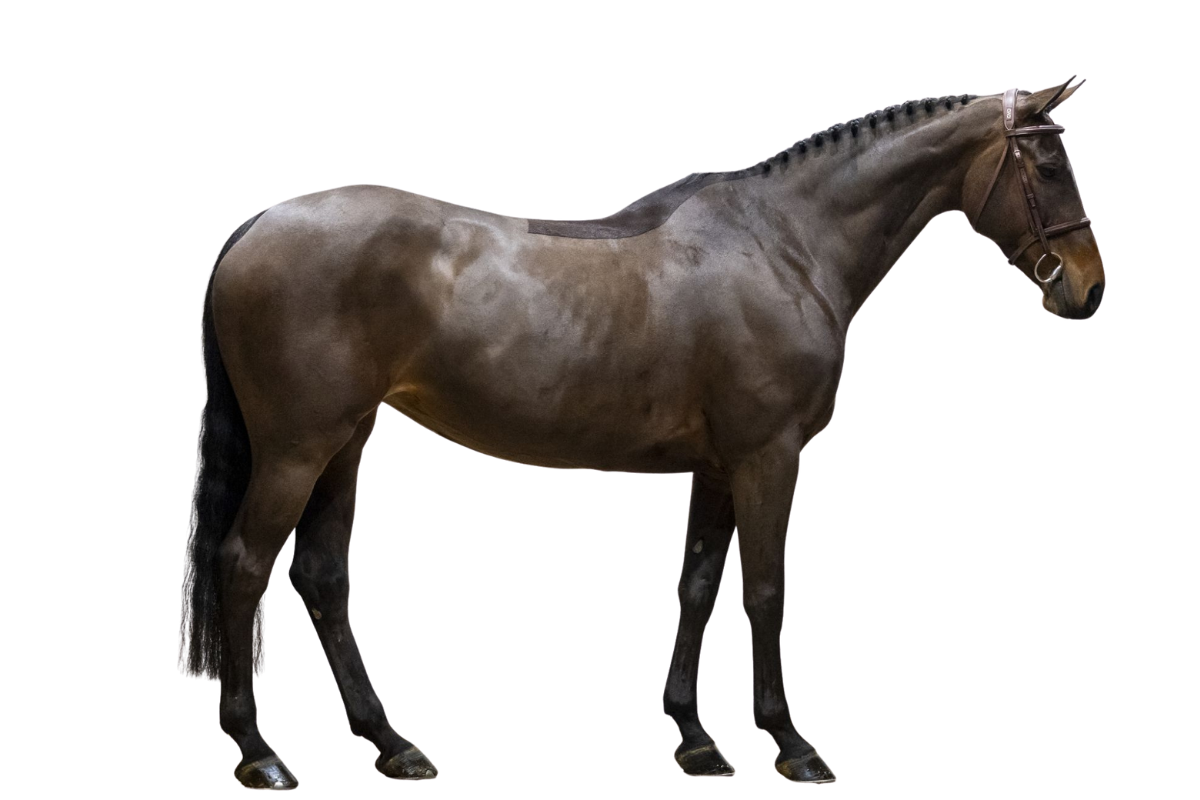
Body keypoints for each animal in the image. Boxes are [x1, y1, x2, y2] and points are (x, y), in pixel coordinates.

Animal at [178, 77, 1102, 789]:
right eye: (1049, 163)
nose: (1087, 290)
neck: (785, 245)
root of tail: (258, 225)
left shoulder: (720, 466)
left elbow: (696, 585)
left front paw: (695, 739)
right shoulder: (769, 458)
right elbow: (765, 589)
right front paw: (792, 745)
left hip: (346, 441)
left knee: (321, 576)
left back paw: (394, 746)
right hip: (297, 450)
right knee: (244, 564)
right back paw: (260, 752)